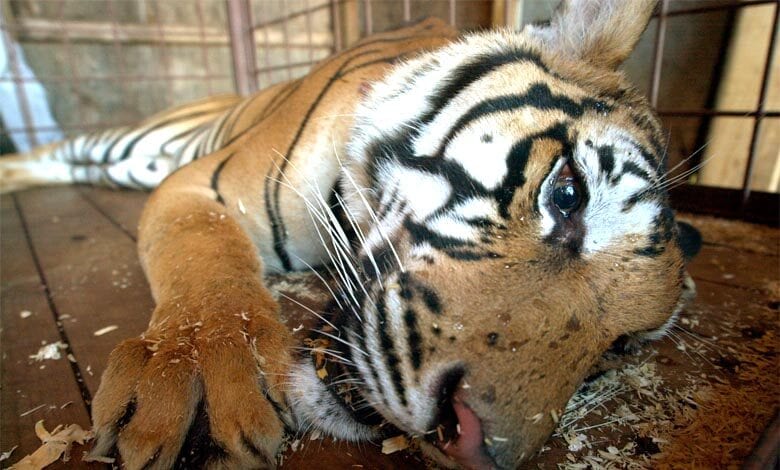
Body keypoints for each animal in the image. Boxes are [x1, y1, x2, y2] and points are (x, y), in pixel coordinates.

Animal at [0, 0, 703, 468]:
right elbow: (206, 262)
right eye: (567, 195)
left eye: (618, 347)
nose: (475, 447)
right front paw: (194, 374)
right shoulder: (199, 187)